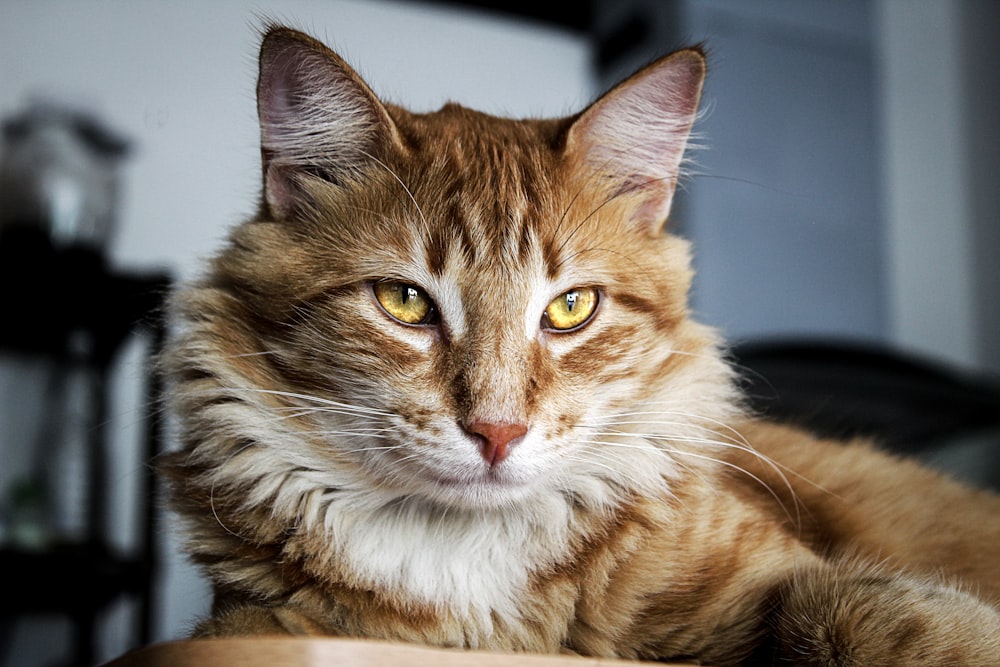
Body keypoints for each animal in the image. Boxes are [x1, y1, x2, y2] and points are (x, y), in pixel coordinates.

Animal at [162, 23, 1000, 664]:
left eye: (571, 308)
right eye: (404, 301)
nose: (497, 431)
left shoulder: (803, 577)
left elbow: (873, 614)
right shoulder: (243, 618)